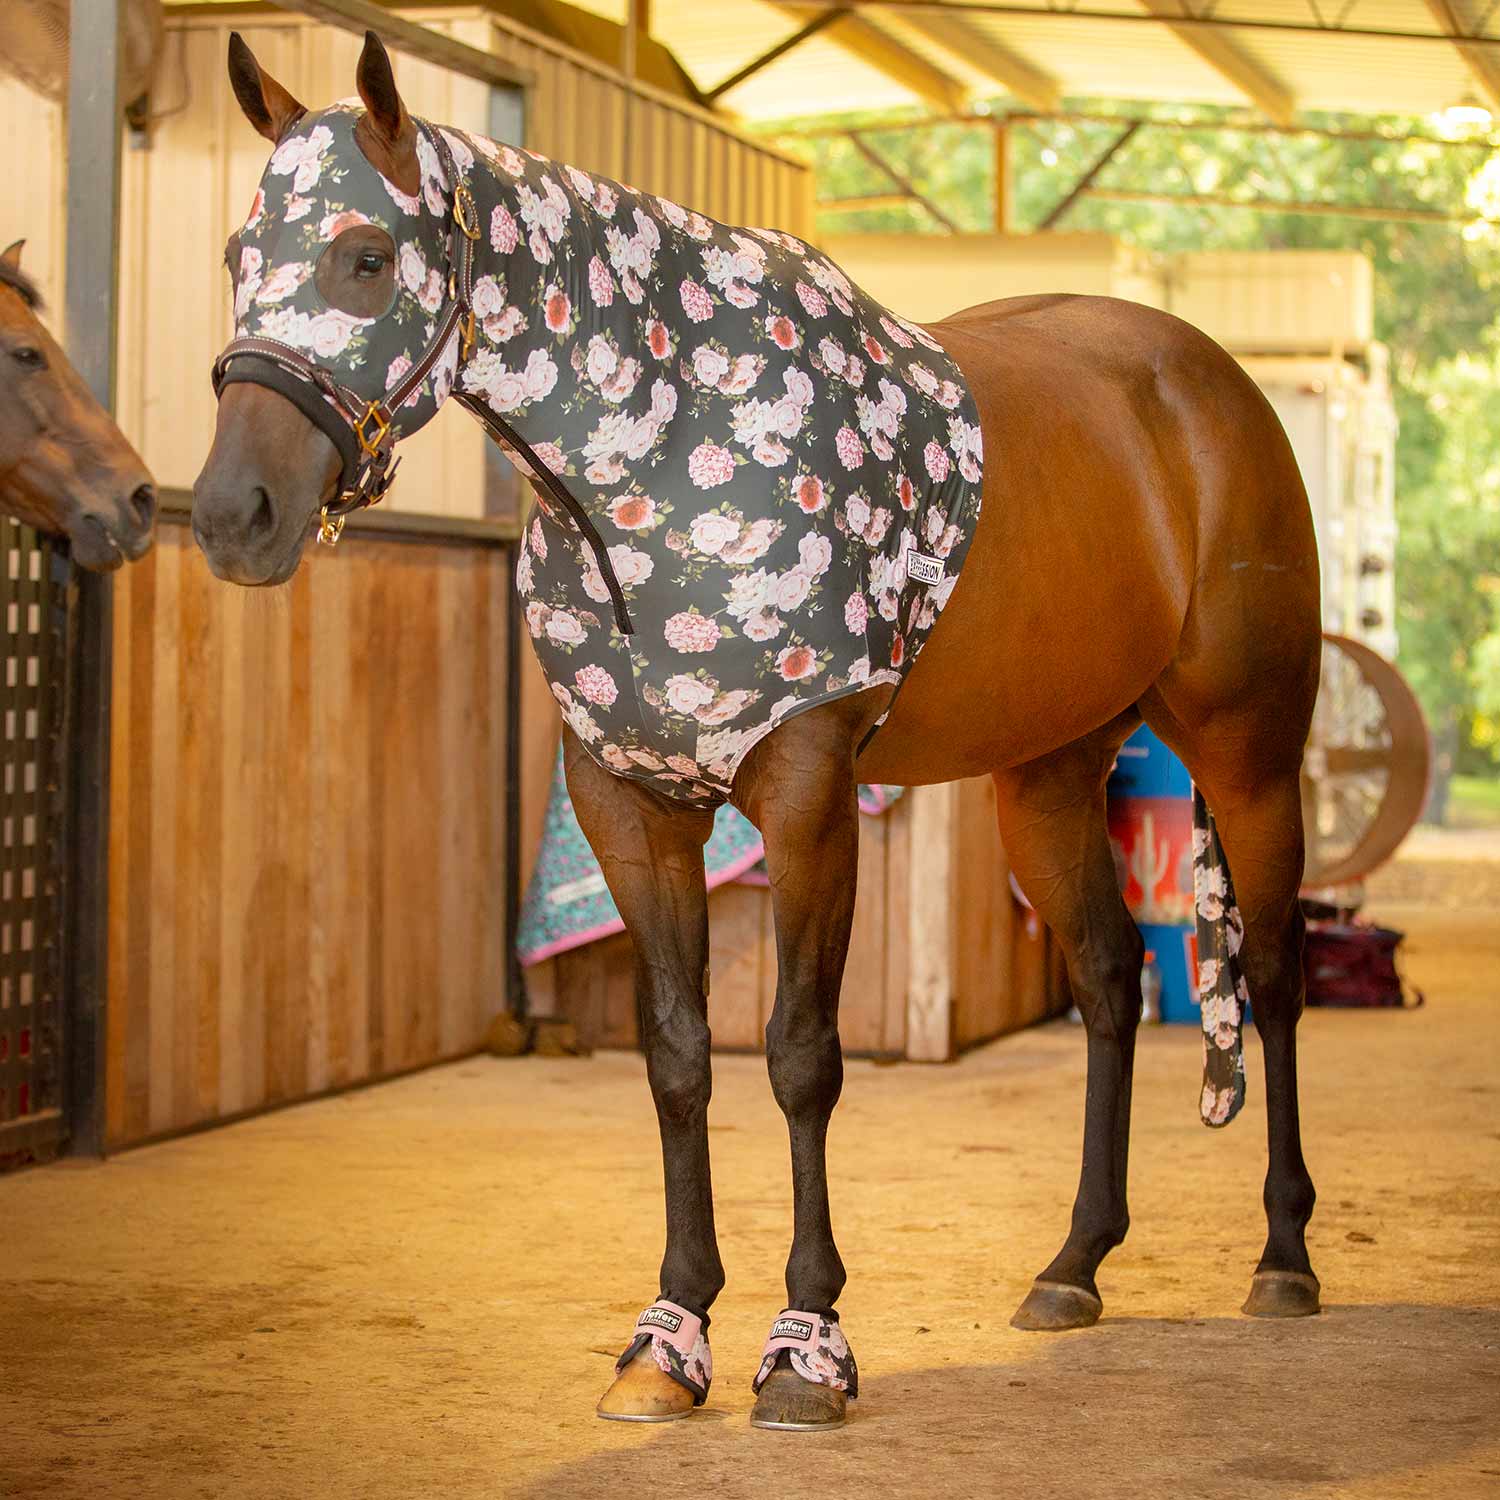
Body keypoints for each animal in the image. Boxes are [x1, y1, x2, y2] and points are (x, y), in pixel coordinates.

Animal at [192, 32, 1323, 1433]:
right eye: (237, 257)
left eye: (363, 255)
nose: (232, 513)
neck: (667, 462)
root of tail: (1211, 385)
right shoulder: (630, 805)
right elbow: (679, 1056)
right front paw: (668, 1338)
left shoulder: (804, 793)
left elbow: (798, 1056)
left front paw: (807, 1345)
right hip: (1050, 774)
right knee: (1112, 979)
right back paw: (1073, 1265)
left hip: (1250, 751)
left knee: (1273, 971)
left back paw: (1284, 1255)